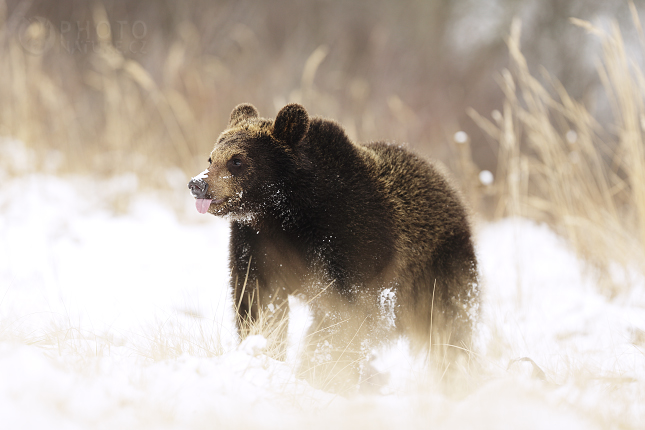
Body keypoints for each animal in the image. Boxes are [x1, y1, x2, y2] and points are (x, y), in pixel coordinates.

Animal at [186, 102, 478, 392]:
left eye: (237, 160)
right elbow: (259, 301)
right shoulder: (259, 245)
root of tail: (447, 186)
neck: (284, 213)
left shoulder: (350, 242)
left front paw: (322, 371)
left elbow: (343, 314)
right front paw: (265, 350)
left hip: (436, 270)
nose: (198, 184)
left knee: (450, 324)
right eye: (212, 157)